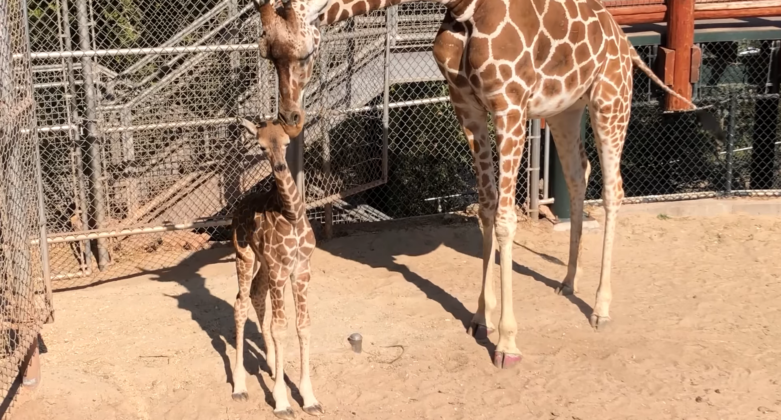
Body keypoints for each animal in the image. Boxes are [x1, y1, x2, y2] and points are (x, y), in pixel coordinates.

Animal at [229, 119, 322, 420]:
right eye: (260, 146)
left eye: (286, 142)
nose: (281, 167)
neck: (291, 214)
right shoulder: (281, 270)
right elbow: (280, 327)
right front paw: (282, 401)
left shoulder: (301, 270)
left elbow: (303, 325)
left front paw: (309, 398)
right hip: (245, 256)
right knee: (241, 303)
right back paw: (239, 386)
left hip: (264, 264)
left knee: (256, 295)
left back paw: (270, 366)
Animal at [253, 0, 724, 368]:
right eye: (265, 52)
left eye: (305, 53)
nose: (290, 118)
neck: (462, 8)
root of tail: (624, 41)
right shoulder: (468, 105)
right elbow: (484, 208)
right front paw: (480, 316)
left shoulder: (509, 105)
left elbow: (505, 219)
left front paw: (507, 341)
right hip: (566, 108)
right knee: (578, 175)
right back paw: (568, 282)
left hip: (611, 95)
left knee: (613, 189)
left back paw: (601, 308)